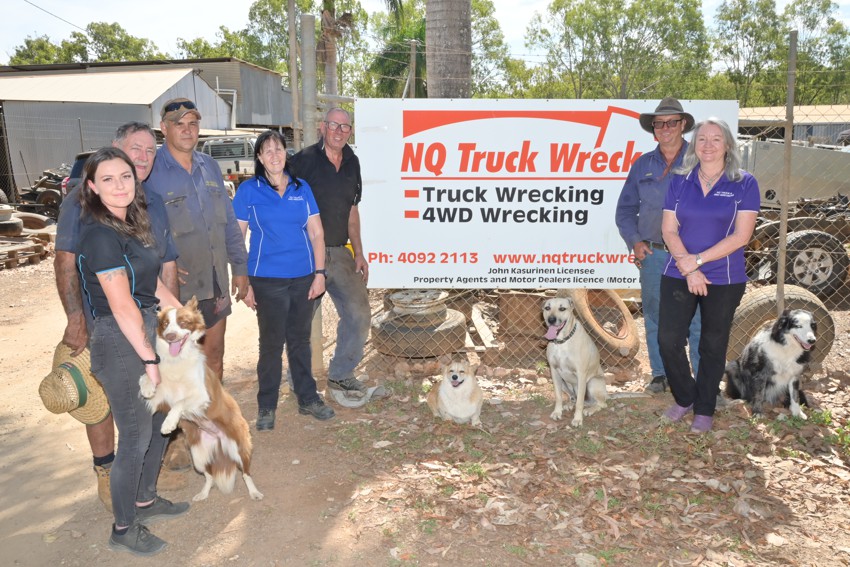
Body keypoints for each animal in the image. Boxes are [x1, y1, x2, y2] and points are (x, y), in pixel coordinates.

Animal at [139, 297, 263, 501]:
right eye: (165, 324)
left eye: (183, 322)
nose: (170, 336)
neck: (177, 360)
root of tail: (218, 440)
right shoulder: (162, 398)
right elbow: (147, 379)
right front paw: (147, 386)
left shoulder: (202, 395)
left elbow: (180, 402)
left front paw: (168, 424)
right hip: (198, 455)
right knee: (209, 476)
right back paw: (203, 494)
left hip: (240, 449)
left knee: (246, 473)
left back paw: (254, 492)